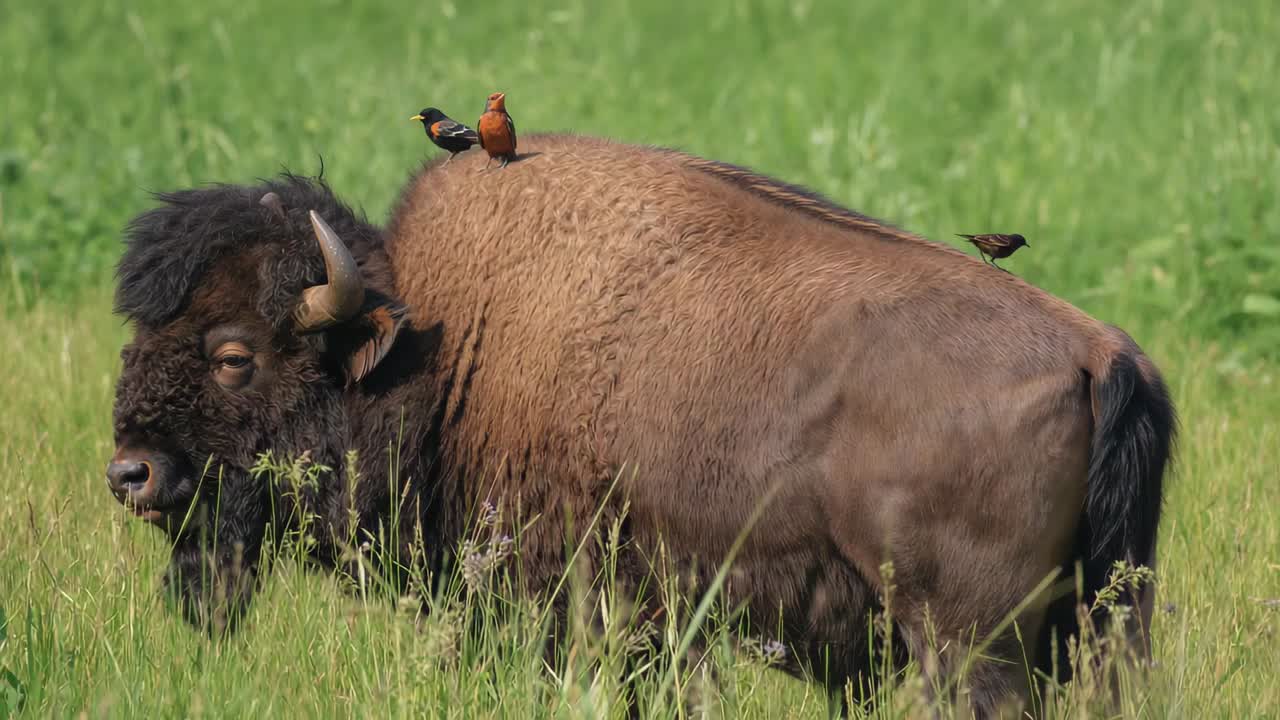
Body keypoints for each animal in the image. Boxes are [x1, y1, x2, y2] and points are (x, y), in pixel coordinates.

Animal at [107, 134, 1174, 716]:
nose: (132, 474)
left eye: (233, 353)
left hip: (966, 648)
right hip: (1098, 631)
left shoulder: (563, 606)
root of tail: (1100, 353)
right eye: (139, 334)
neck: (432, 345)